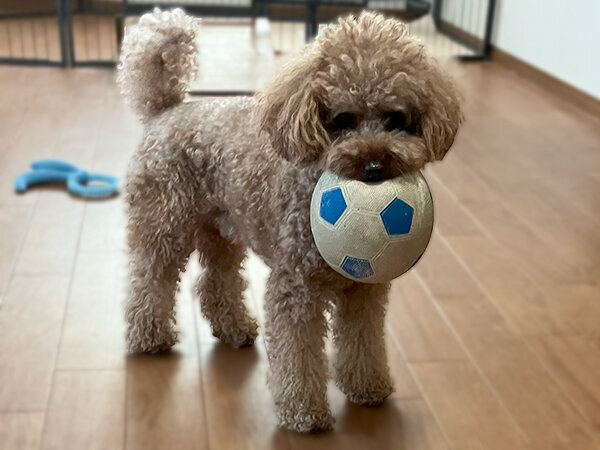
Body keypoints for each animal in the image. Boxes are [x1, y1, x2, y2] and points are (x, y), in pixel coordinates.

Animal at [119, 8, 462, 432]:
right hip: (164, 223)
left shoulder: (364, 290)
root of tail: (166, 110)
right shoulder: (296, 287)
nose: (374, 166)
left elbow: (363, 341)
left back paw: (234, 328)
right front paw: (305, 413)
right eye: (342, 119)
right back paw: (149, 337)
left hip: (222, 227)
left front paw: (369, 387)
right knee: (150, 279)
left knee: (217, 281)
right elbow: (297, 353)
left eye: (396, 118)